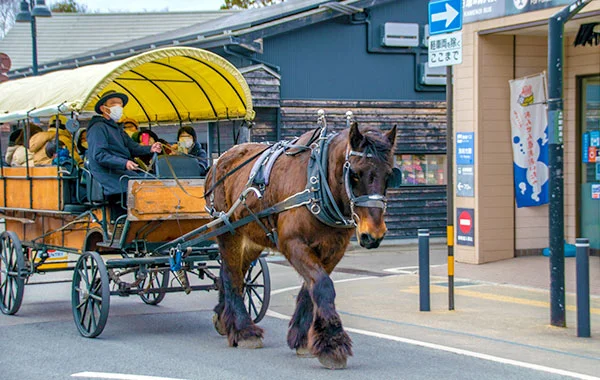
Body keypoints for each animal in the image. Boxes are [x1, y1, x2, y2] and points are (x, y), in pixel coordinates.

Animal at [206, 123, 398, 370]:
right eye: (355, 173)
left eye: (390, 175)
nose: (373, 235)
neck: (317, 181)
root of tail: (219, 160)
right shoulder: (292, 243)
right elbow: (323, 285)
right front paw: (333, 344)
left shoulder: (333, 249)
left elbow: (311, 288)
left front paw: (303, 339)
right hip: (227, 230)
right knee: (232, 276)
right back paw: (244, 330)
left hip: (252, 238)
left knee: (233, 274)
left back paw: (224, 318)